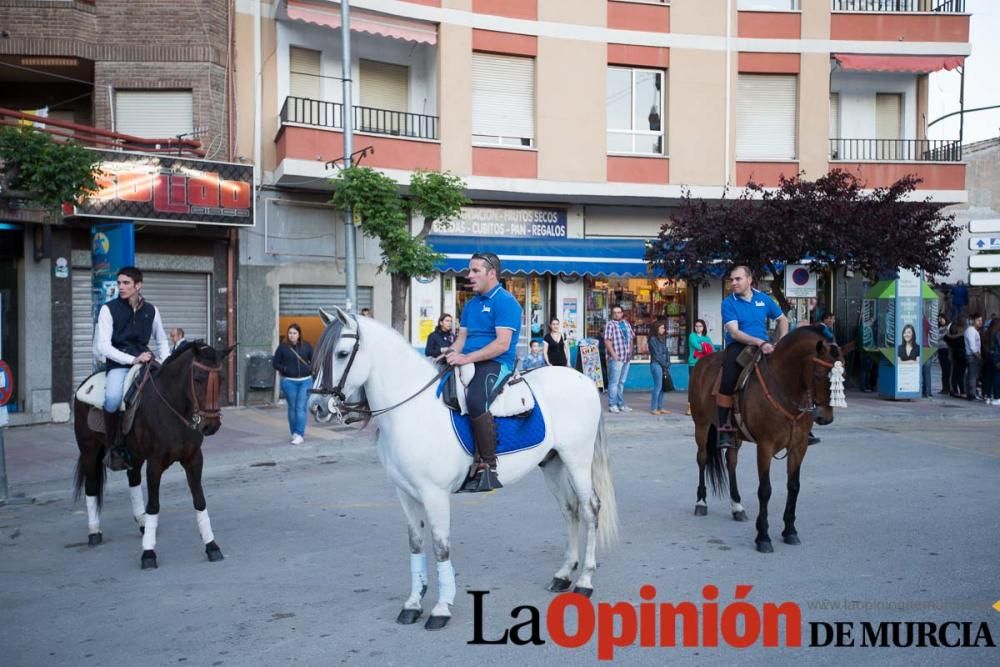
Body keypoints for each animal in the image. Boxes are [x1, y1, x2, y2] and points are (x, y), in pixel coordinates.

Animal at [73, 344, 233, 568]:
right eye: (199, 378)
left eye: (222, 379)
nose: (211, 426)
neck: (173, 409)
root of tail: (85, 384)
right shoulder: (155, 464)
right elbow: (154, 505)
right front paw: (148, 553)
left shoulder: (194, 459)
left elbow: (200, 501)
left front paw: (211, 545)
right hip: (89, 449)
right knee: (92, 487)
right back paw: (94, 531)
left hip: (135, 454)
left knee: (133, 480)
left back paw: (142, 522)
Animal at [310, 308, 616, 632]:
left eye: (342, 353)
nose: (316, 406)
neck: (411, 411)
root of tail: (583, 380)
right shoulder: (405, 493)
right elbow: (416, 544)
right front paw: (413, 603)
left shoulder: (434, 494)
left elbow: (441, 547)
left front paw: (441, 608)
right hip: (553, 464)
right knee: (570, 511)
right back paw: (563, 575)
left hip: (577, 460)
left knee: (590, 509)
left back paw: (584, 581)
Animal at [692, 328, 840, 552]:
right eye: (818, 375)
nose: (825, 417)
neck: (785, 388)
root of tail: (702, 363)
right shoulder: (765, 446)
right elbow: (765, 490)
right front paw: (763, 537)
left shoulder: (798, 447)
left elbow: (794, 486)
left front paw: (790, 531)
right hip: (701, 424)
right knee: (702, 459)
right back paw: (701, 502)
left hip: (736, 435)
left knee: (731, 462)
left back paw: (737, 506)